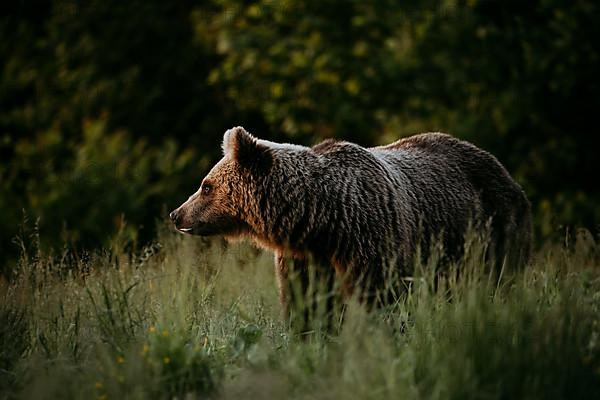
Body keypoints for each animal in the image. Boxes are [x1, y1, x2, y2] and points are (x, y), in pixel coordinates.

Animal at [169, 126, 528, 310]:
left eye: (206, 186)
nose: (176, 214)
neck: (321, 220)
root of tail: (504, 170)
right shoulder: (305, 260)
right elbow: (306, 306)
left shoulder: (371, 242)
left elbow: (377, 300)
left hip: (489, 229)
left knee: (495, 279)